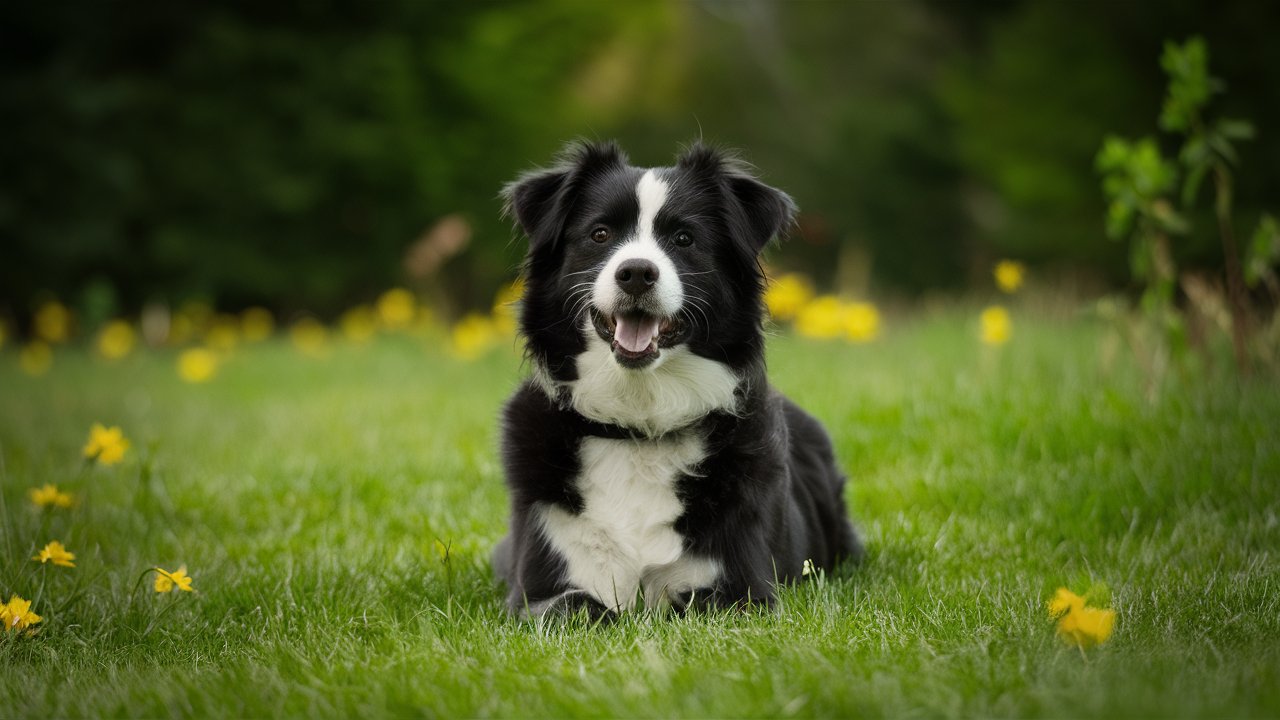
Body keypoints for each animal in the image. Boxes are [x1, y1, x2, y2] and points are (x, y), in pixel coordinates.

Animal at [488, 141, 860, 617]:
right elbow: (584, 610)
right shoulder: (539, 591)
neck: (639, 425)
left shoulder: (741, 592)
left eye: (684, 239)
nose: (636, 273)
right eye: (600, 234)